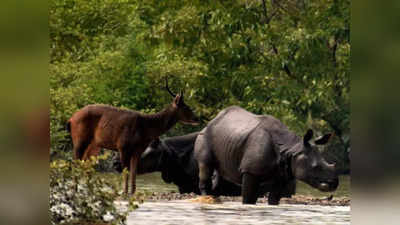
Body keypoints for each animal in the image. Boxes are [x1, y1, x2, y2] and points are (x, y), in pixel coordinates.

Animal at [68, 78, 202, 195]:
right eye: (186, 107)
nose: (197, 118)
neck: (146, 128)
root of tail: (71, 119)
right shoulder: (123, 146)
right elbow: (126, 172)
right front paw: (124, 192)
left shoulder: (137, 150)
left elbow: (133, 172)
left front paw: (132, 192)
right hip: (79, 139)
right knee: (75, 163)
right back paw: (75, 190)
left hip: (94, 145)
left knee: (85, 165)